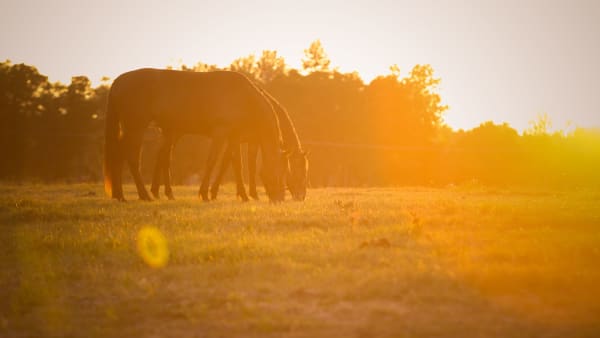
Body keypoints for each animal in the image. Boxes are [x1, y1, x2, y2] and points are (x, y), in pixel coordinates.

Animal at [103, 67, 286, 202]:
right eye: (278, 169)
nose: (279, 199)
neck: (243, 97)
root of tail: (118, 81)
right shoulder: (220, 133)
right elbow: (211, 162)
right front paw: (204, 194)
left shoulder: (234, 137)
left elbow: (237, 166)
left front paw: (244, 195)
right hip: (136, 127)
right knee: (131, 158)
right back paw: (144, 195)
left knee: (119, 156)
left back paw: (120, 195)